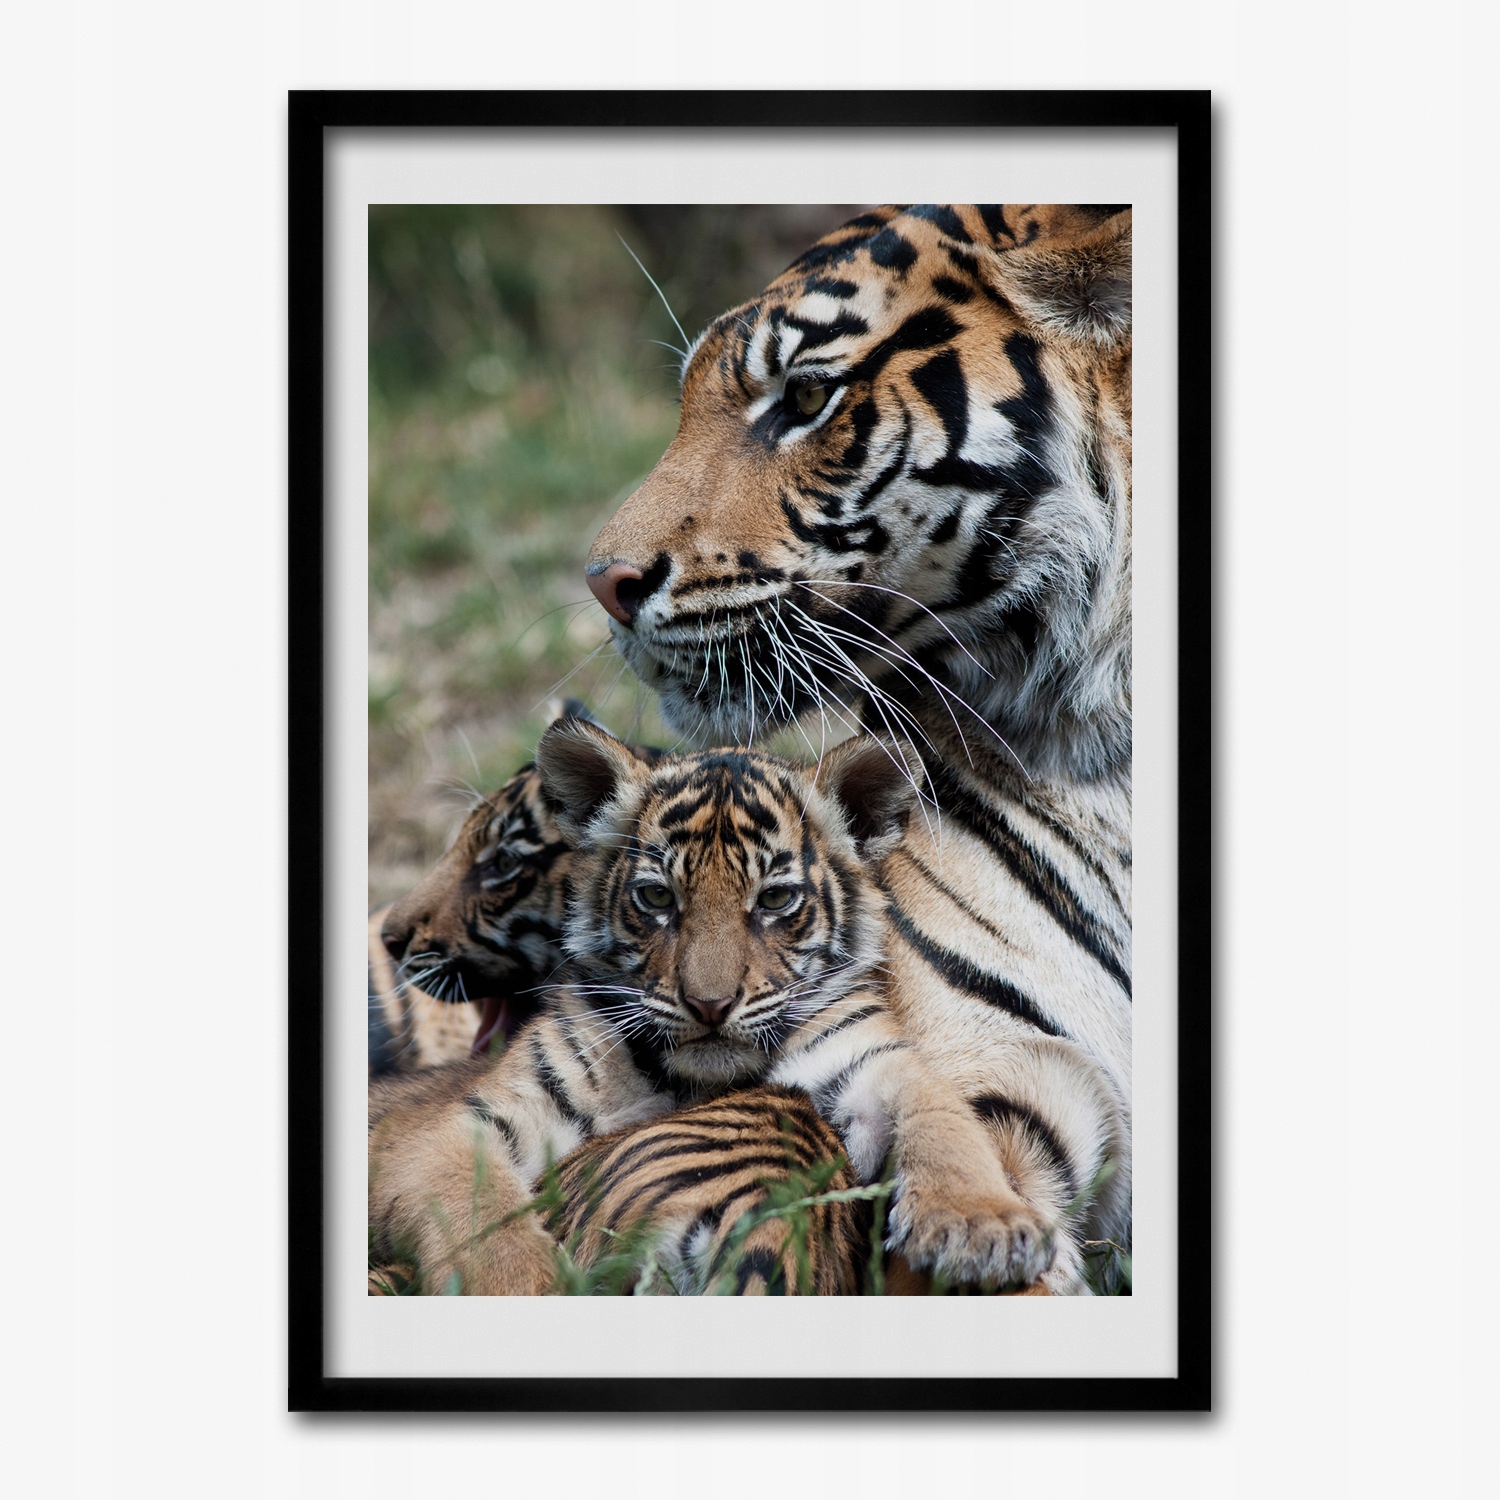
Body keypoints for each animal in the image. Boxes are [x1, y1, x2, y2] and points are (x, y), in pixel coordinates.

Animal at [368, 717, 1055, 1296]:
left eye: (774, 899)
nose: (709, 1004)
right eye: (656, 898)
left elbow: (941, 1114)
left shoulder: (867, 1055)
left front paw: (985, 1226)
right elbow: (483, 1226)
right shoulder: (460, 1125)